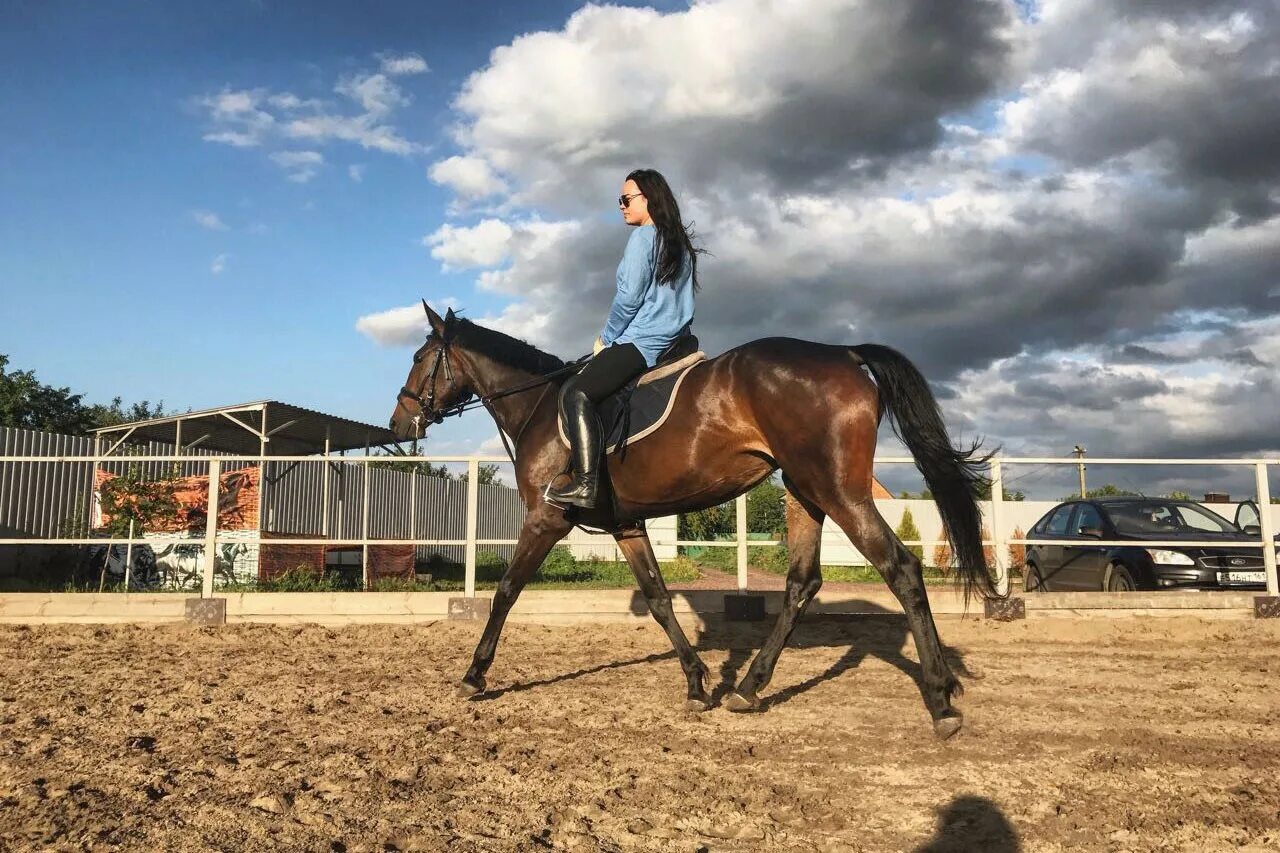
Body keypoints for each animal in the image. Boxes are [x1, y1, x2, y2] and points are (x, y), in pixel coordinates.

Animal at [389, 302, 998, 732]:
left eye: (419, 359)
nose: (399, 423)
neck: (540, 406)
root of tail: (844, 354)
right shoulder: (626, 526)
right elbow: (659, 598)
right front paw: (697, 683)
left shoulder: (546, 519)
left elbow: (506, 593)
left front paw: (473, 675)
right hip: (805, 493)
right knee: (802, 584)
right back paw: (747, 688)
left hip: (839, 492)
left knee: (901, 569)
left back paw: (941, 700)